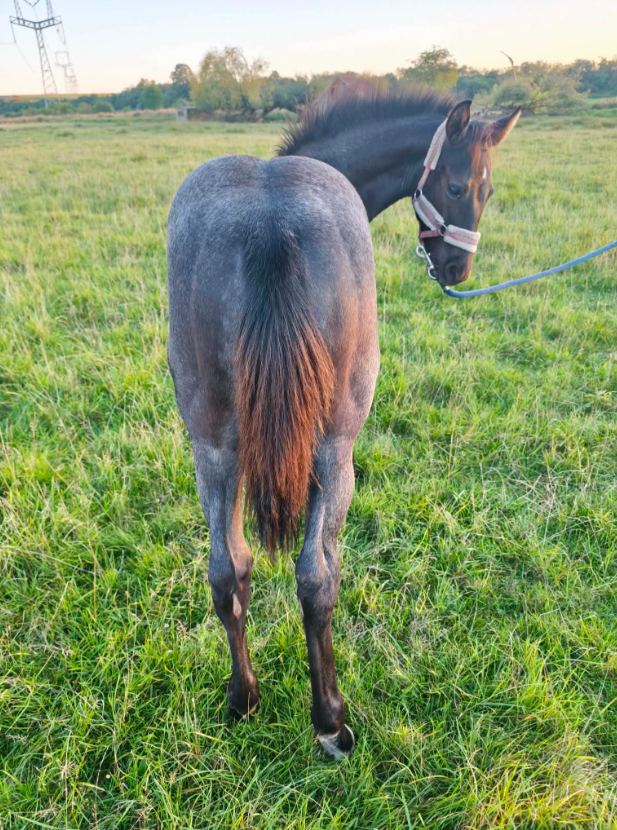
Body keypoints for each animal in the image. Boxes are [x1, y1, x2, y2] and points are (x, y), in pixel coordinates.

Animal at [167, 83, 520, 759]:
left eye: (490, 193)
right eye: (458, 186)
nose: (457, 271)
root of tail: (270, 225)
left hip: (213, 448)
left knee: (228, 569)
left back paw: (243, 698)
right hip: (335, 450)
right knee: (316, 579)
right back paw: (330, 720)